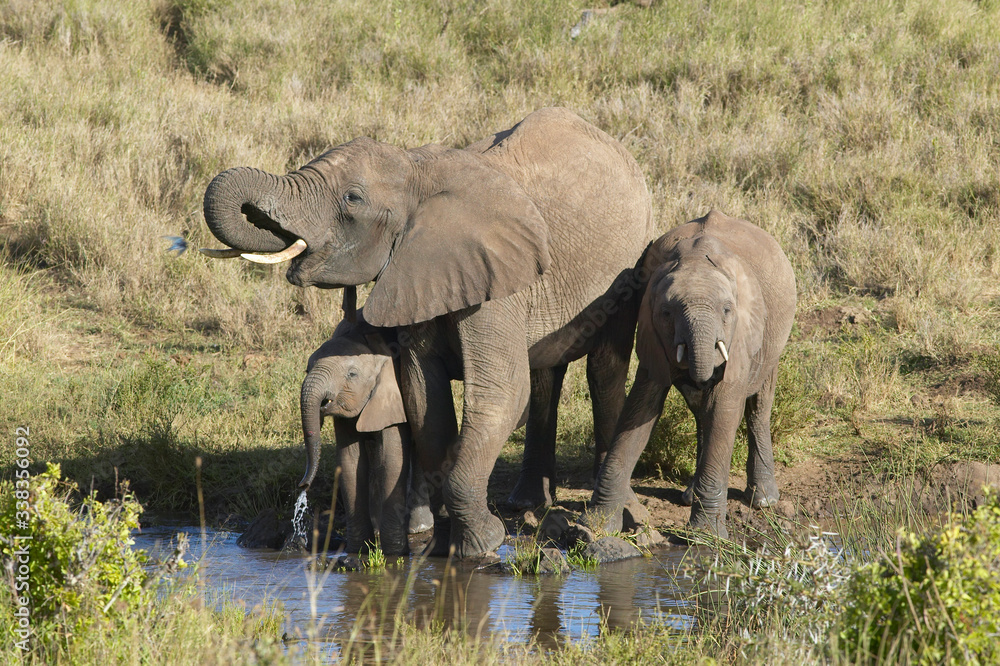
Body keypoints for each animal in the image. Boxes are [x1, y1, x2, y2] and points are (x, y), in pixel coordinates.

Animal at [203, 107, 656, 556]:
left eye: (353, 198)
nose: (256, 216)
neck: (417, 172)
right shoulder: (419, 276)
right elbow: (424, 401)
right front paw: (443, 542)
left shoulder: (495, 283)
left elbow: (501, 394)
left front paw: (482, 542)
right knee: (546, 373)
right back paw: (528, 502)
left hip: (629, 264)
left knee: (604, 369)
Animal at [584, 210, 796, 536]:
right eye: (667, 313)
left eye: (727, 310)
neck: (696, 260)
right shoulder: (651, 332)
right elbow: (640, 409)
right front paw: (595, 526)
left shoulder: (742, 334)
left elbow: (724, 408)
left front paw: (705, 536)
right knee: (701, 413)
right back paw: (689, 496)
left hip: (772, 341)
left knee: (758, 406)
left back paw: (763, 500)